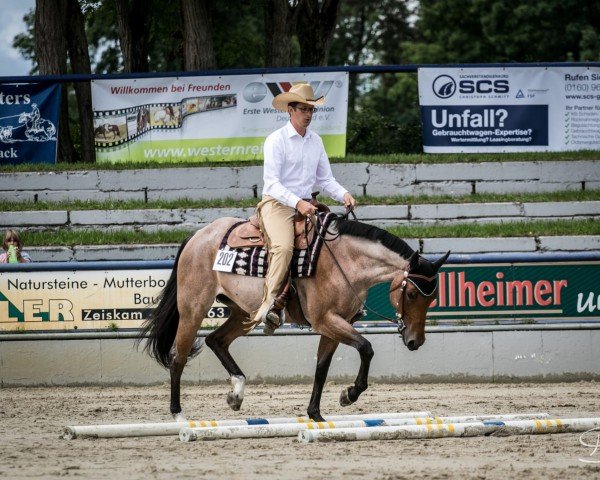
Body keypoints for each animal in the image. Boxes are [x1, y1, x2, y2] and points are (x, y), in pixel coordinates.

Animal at [139, 214, 450, 420]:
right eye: (412, 294)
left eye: (433, 296)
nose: (415, 341)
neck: (345, 261)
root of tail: (197, 236)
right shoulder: (327, 320)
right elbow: (366, 347)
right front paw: (349, 395)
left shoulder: (335, 325)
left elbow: (322, 368)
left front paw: (316, 415)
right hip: (193, 308)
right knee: (178, 355)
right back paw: (179, 416)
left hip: (244, 312)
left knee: (216, 340)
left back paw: (236, 393)